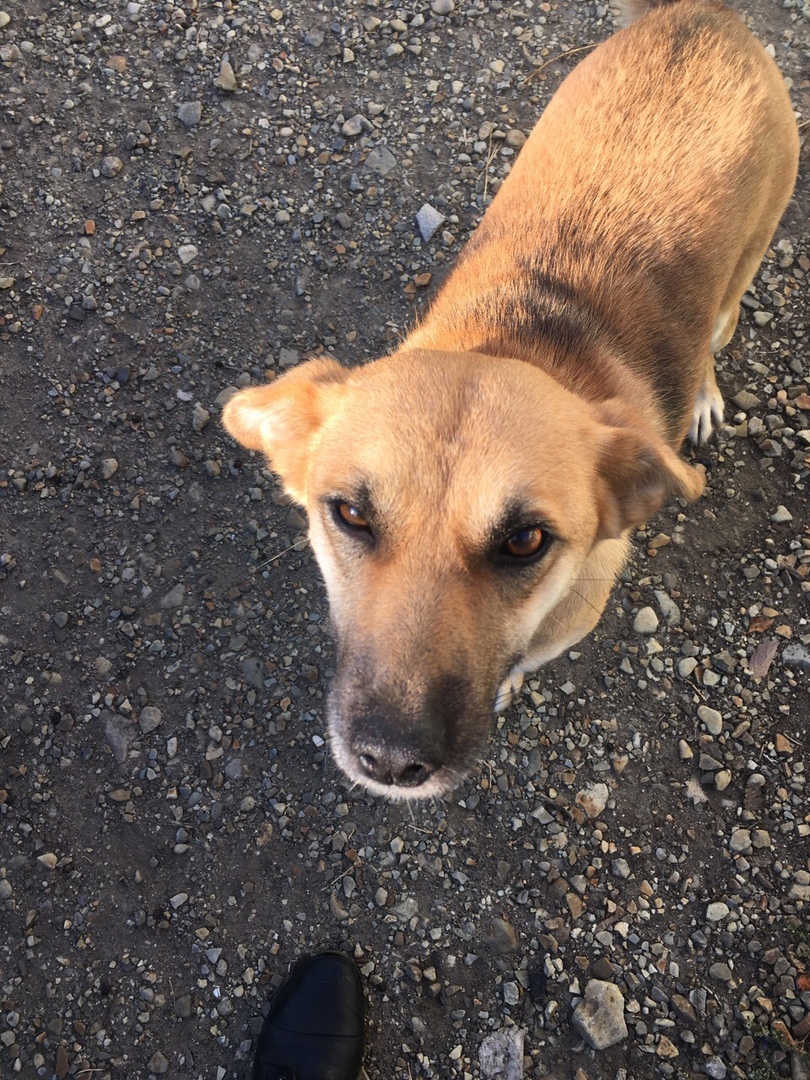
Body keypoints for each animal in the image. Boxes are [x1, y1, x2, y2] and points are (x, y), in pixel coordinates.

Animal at [223, 2, 799, 803]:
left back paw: (705, 394)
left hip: (743, 269)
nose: (392, 760)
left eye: (526, 541)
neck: (514, 346)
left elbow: (524, 659)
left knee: (726, 320)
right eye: (350, 514)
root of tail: (700, 16)